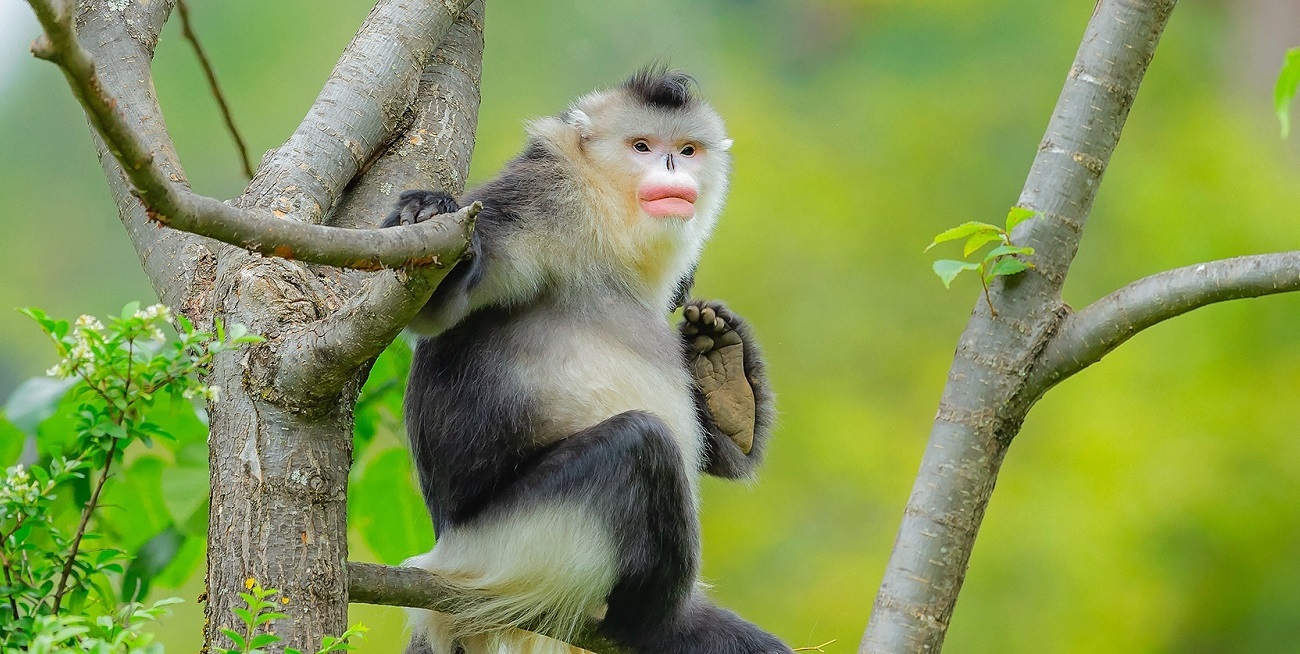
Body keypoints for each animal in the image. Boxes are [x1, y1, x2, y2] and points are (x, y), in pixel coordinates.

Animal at [382, 66, 790, 654]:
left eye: (686, 150)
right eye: (642, 147)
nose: (671, 167)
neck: (608, 220)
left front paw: (725, 386)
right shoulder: (543, 201)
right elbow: (439, 304)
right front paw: (428, 211)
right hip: (512, 550)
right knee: (643, 443)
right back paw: (658, 624)